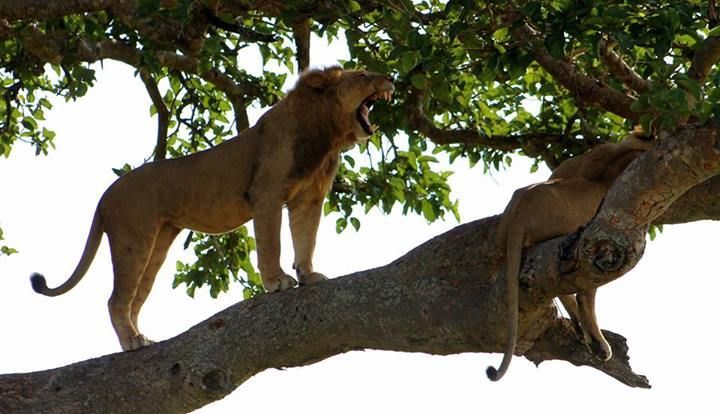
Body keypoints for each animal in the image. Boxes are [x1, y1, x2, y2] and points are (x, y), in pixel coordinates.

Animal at [30, 66, 395, 351]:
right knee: (116, 299)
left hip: (157, 242)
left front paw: (309, 275)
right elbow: (271, 243)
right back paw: (132, 341)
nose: (391, 78)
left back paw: (141, 339)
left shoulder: (308, 199)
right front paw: (277, 281)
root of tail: (104, 198)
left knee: (134, 297)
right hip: (133, 238)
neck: (326, 137)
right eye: (364, 75)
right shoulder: (266, 194)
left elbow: (306, 239)